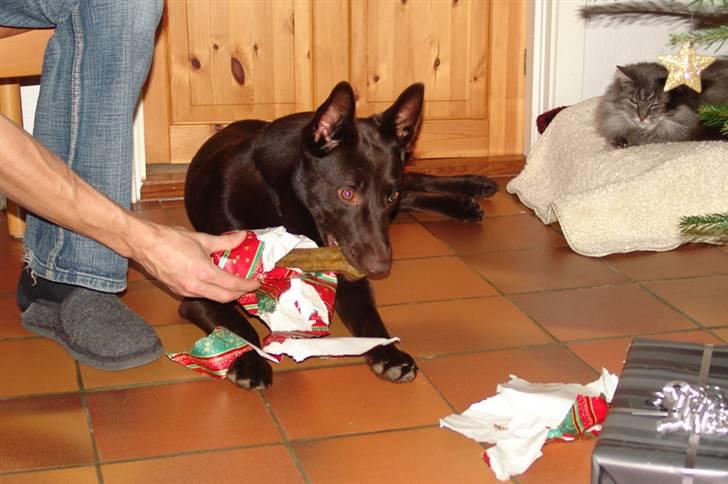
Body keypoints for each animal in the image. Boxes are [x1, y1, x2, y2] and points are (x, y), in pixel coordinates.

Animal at [179, 80, 498, 390]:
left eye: (389, 196)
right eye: (346, 193)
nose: (380, 268)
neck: (281, 198)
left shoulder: (350, 274)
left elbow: (368, 316)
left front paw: (389, 352)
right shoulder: (203, 290)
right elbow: (237, 326)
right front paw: (250, 361)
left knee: (413, 181)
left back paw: (472, 188)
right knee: (412, 190)